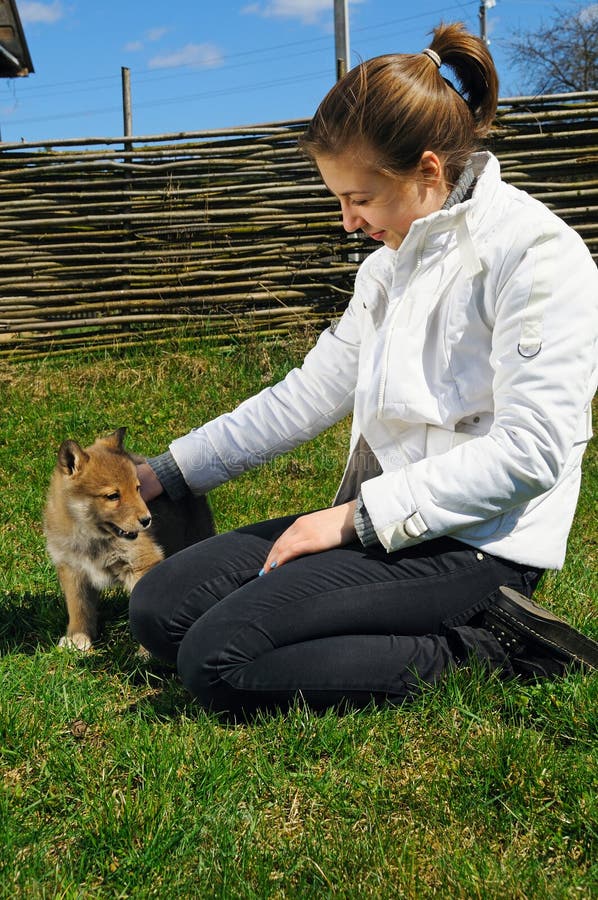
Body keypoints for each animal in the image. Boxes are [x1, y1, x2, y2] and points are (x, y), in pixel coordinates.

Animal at [44, 426, 213, 652]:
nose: (147, 520)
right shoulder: (72, 570)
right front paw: (77, 638)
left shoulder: (141, 564)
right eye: (113, 496)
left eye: (137, 488)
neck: (92, 537)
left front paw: (147, 652)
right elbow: (78, 607)